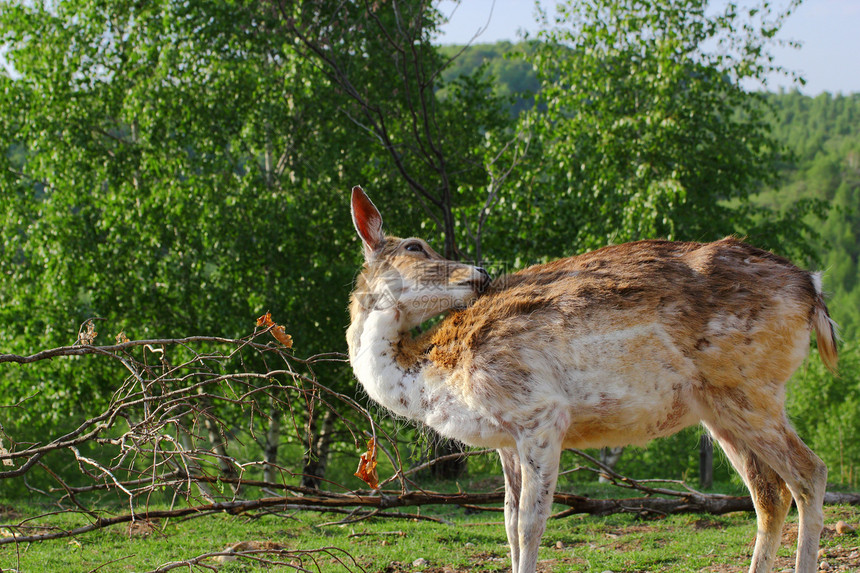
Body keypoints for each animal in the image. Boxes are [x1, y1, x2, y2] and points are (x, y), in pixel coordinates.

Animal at [346, 185, 836, 568]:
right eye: (414, 246)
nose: (480, 272)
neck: (430, 376)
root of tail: (813, 289)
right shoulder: (504, 438)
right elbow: (506, 521)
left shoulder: (539, 411)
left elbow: (530, 523)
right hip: (719, 409)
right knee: (770, 494)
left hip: (750, 388)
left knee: (810, 472)